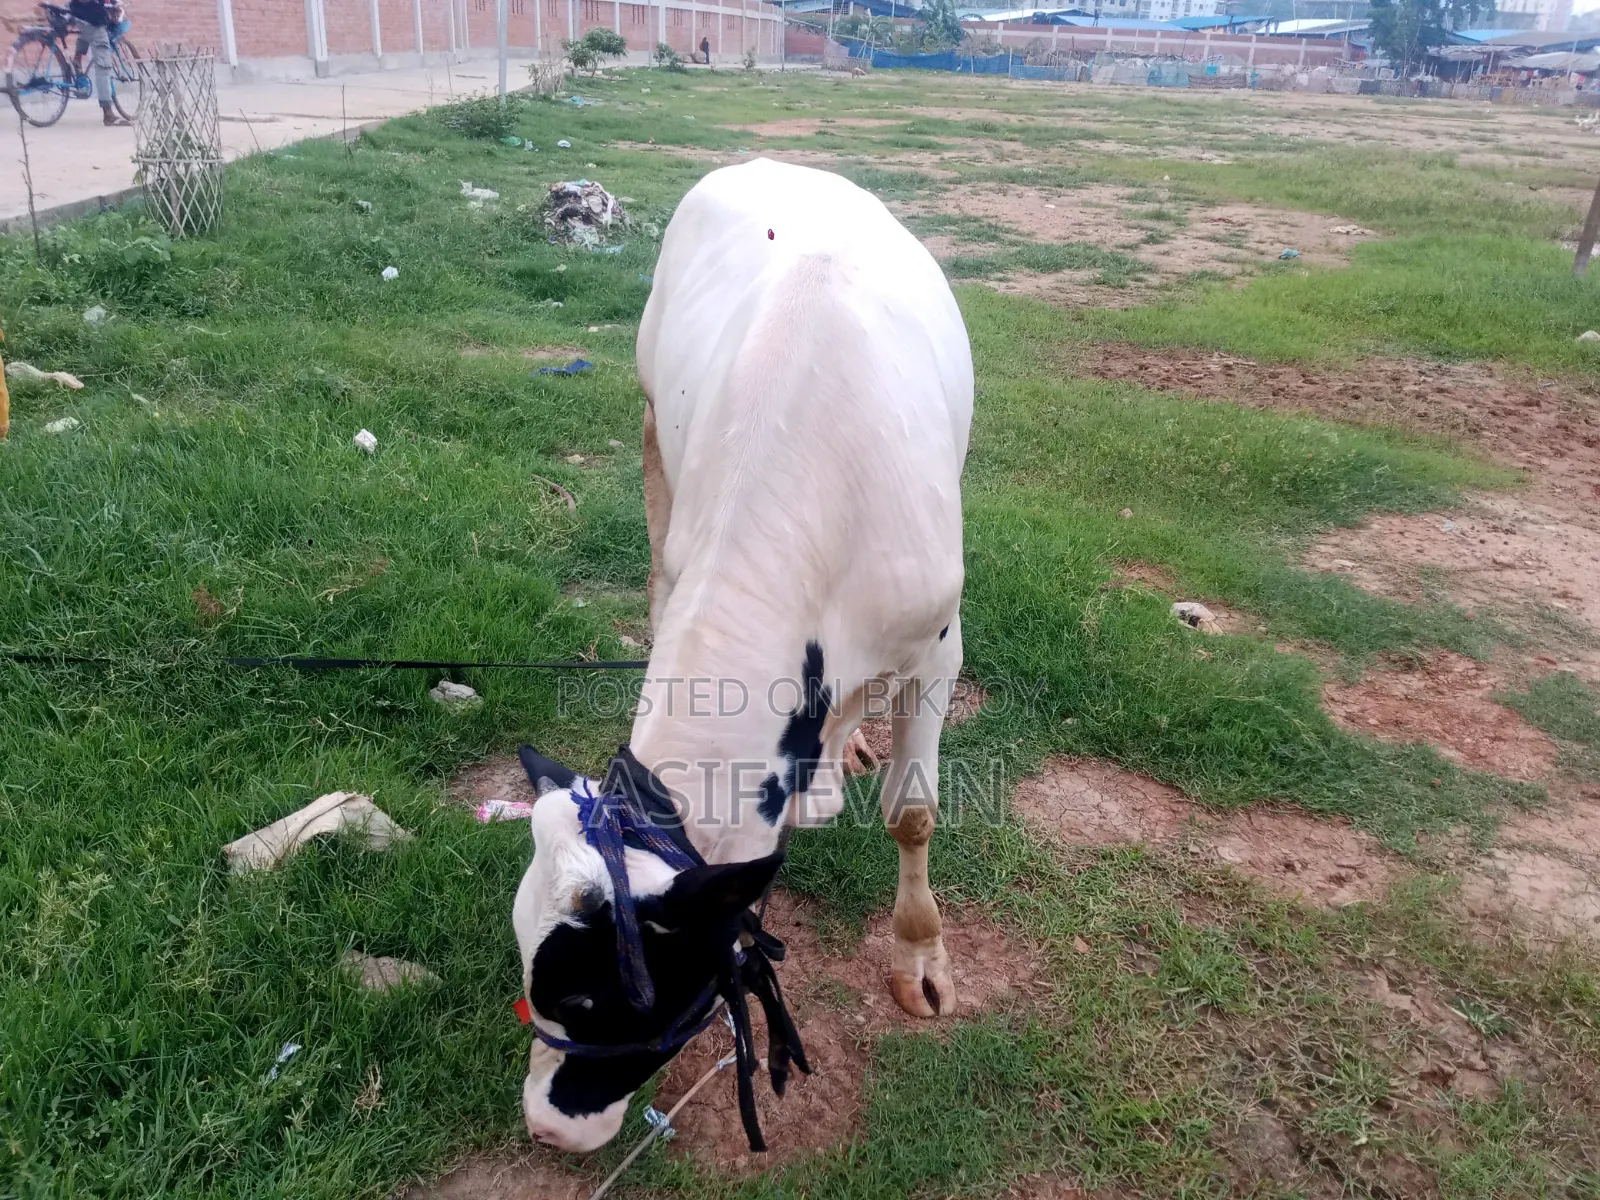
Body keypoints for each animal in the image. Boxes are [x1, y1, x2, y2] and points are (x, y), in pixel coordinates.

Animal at [511, 157, 975, 1155]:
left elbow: (913, 815)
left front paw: (920, 959)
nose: (548, 1129)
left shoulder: (938, 644)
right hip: (653, 421)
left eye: (593, 995)